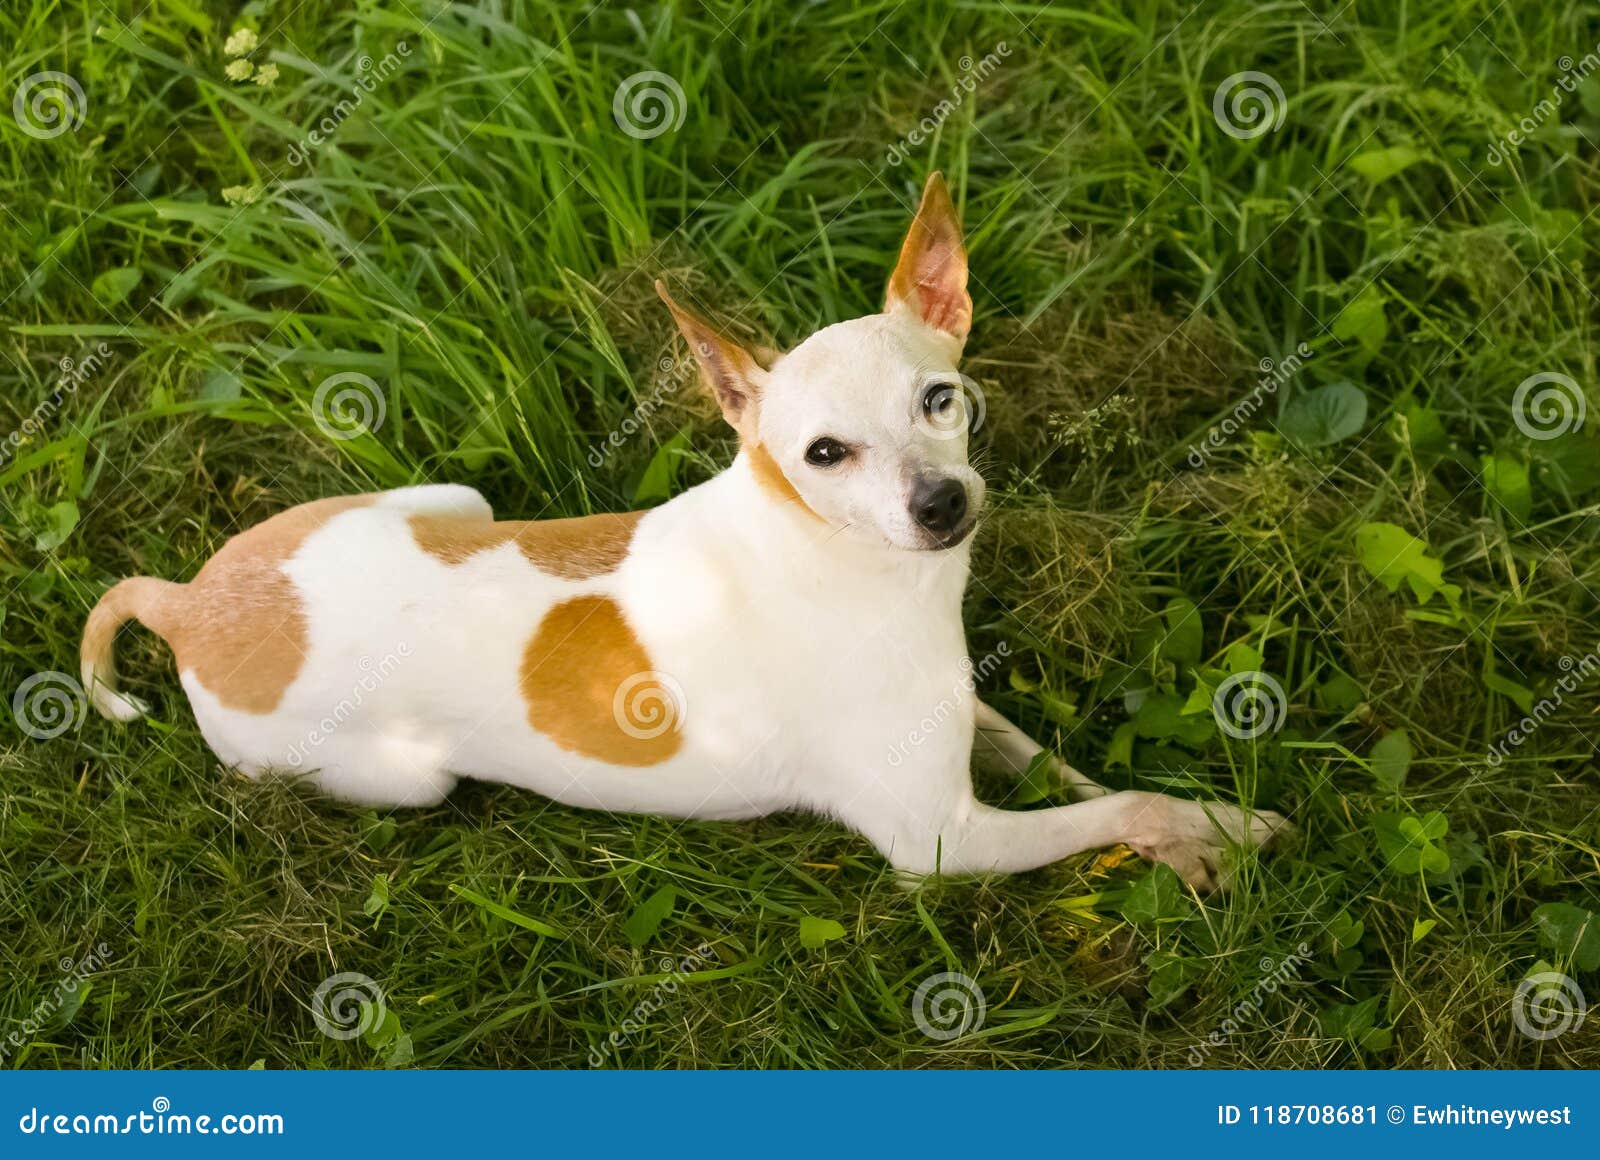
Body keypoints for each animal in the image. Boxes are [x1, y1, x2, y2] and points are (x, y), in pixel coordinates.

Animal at [84, 172, 1286, 883]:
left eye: (940, 399)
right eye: (823, 454)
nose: (942, 504)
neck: (839, 557)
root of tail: (191, 603)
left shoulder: (965, 718)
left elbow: (1064, 766)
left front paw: (1203, 816)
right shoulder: (942, 842)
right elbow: (1121, 806)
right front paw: (1215, 837)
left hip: (453, 501)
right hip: (391, 775)